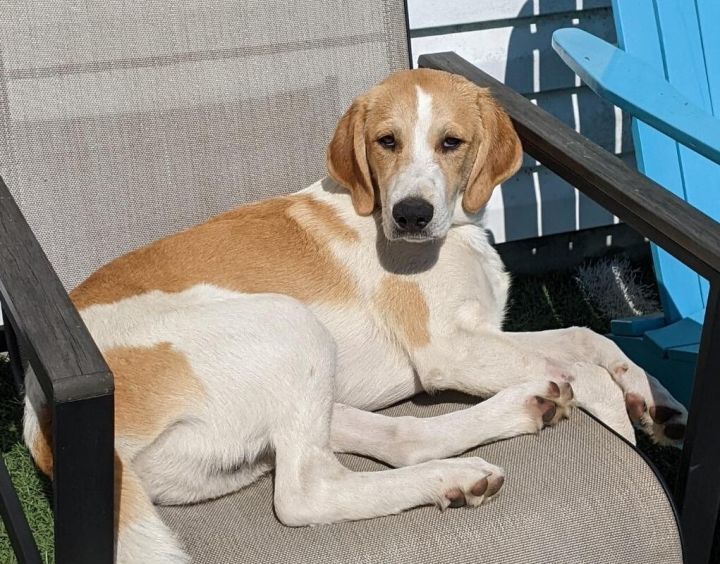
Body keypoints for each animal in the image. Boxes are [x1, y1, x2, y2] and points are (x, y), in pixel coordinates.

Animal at [21, 68, 688, 560]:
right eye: (385, 141)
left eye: (451, 143)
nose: (412, 215)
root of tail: (38, 422)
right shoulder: (450, 351)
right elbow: (587, 371)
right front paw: (624, 421)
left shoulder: (485, 335)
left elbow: (588, 340)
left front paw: (656, 401)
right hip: (291, 326)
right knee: (306, 494)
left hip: (309, 392)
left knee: (401, 440)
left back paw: (498, 434)